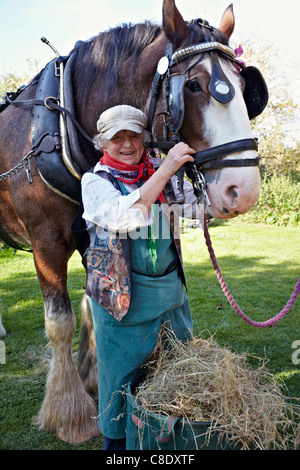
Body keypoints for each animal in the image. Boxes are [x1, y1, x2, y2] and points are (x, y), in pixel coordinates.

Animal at [0, 0, 268, 442]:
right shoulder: (45, 242)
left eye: (245, 89)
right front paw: (69, 413)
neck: (63, 128)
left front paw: (93, 379)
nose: (241, 191)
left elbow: (93, 309)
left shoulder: (89, 237)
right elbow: (60, 323)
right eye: (193, 86)